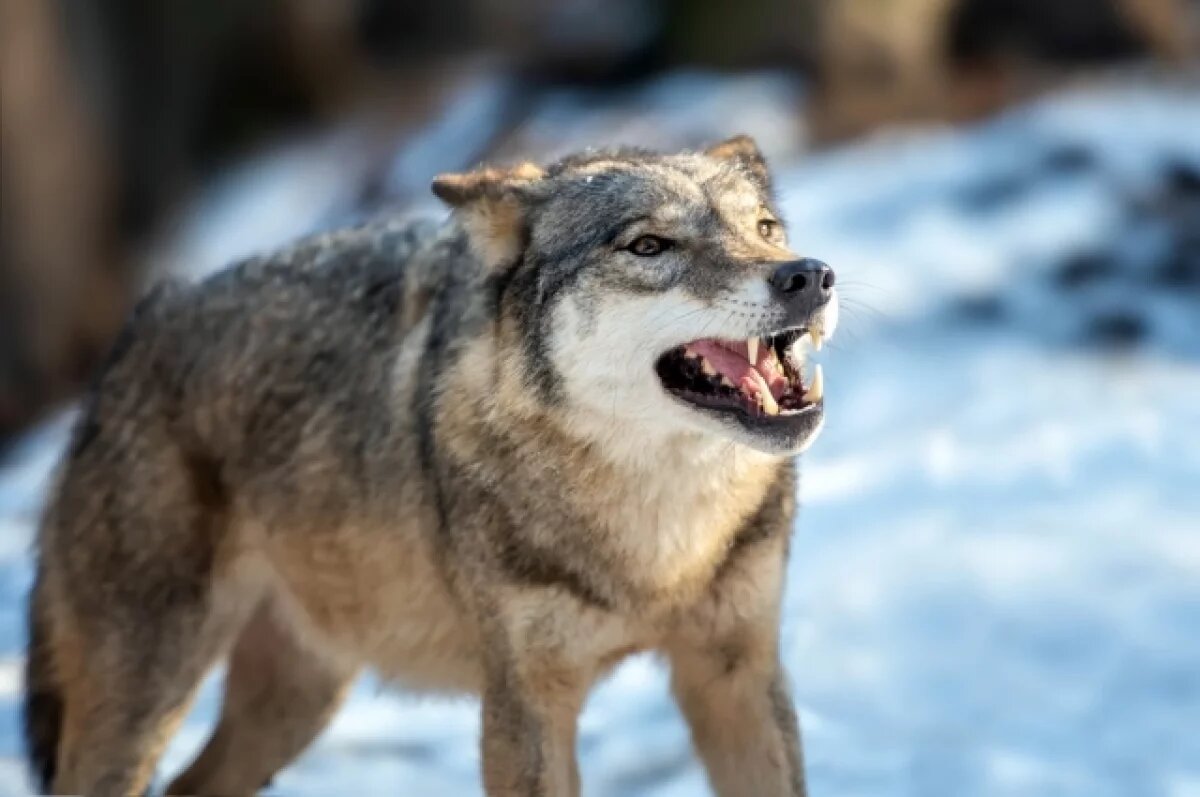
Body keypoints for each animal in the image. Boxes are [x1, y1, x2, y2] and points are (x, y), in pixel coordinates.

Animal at [23, 136, 840, 797]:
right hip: (147, 699)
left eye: (764, 229)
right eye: (648, 245)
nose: (810, 275)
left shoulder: (738, 676)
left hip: (295, 701)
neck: (659, 545)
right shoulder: (523, 705)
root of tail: (139, 326)